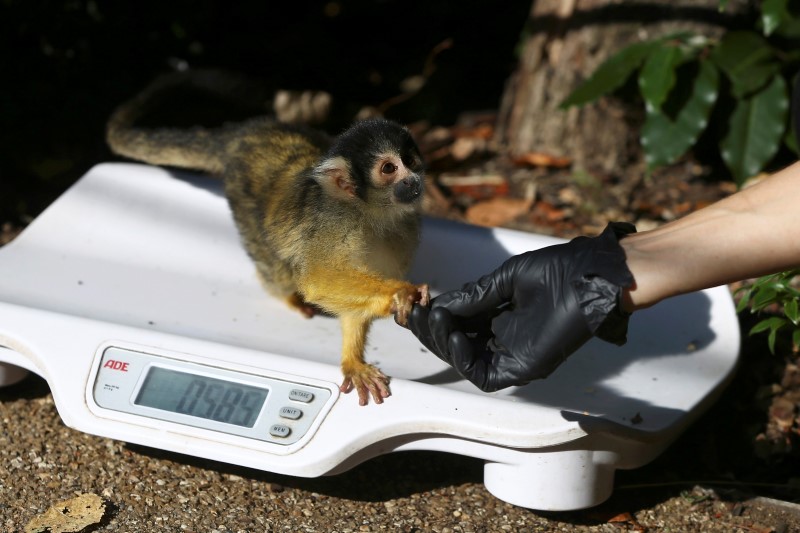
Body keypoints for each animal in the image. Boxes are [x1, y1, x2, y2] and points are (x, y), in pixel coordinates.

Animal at [106, 72, 429, 406]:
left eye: (410, 160)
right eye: (389, 168)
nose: (412, 180)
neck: (371, 212)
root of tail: (244, 132)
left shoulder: (404, 229)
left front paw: (353, 360)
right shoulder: (336, 224)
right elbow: (318, 278)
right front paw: (398, 294)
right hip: (243, 204)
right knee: (281, 268)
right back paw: (284, 293)